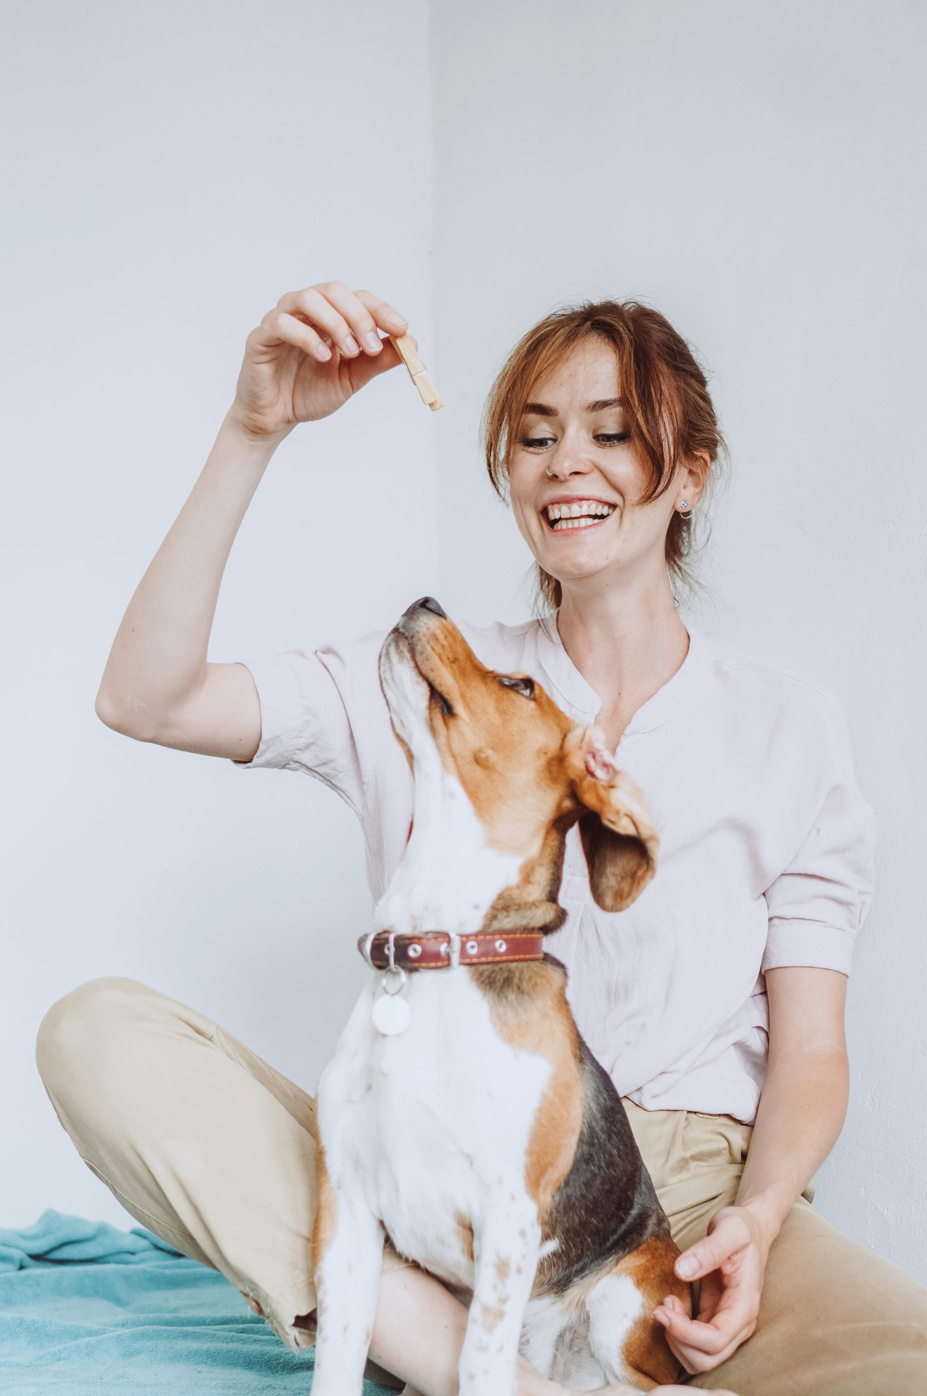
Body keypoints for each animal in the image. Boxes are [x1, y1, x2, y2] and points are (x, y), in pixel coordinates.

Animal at [311, 600, 686, 1396]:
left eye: (519, 686)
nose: (424, 602)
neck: (437, 955)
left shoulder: (508, 1223)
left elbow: (478, 1363)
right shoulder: (346, 1213)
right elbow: (335, 1359)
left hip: (622, 1303)